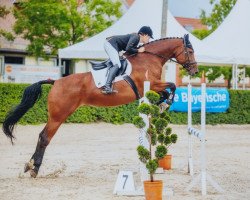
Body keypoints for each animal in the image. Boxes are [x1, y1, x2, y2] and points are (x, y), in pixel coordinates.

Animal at [1, 33, 197, 177]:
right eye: (190, 50)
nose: (195, 70)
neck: (149, 58)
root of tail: (55, 82)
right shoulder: (151, 84)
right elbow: (172, 85)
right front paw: (166, 103)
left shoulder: (152, 88)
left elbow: (168, 90)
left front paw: (162, 103)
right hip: (58, 116)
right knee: (44, 137)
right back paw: (34, 168)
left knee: (41, 136)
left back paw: (29, 165)